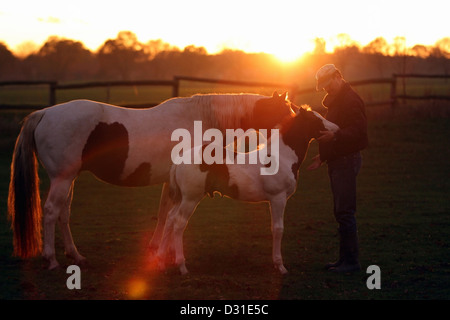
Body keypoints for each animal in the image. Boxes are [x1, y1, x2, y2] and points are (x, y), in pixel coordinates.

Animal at [9, 91, 296, 268]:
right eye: (287, 112)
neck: (200, 119)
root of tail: (44, 113)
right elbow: (169, 215)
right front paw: (166, 253)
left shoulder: (172, 181)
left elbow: (164, 213)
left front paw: (159, 250)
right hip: (62, 178)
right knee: (50, 212)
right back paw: (51, 259)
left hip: (69, 179)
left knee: (63, 214)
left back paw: (76, 256)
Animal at [157, 107, 338, 276]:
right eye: (316, 119)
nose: (336, 129)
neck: (281, 157)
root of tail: (179, 160)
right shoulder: (278, 198)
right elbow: (278, 229)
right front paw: (280, 266)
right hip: (190, 199)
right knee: (179, 223)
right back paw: (182, 266)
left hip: (181, 198)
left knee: (170, 218)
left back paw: (161, 260)